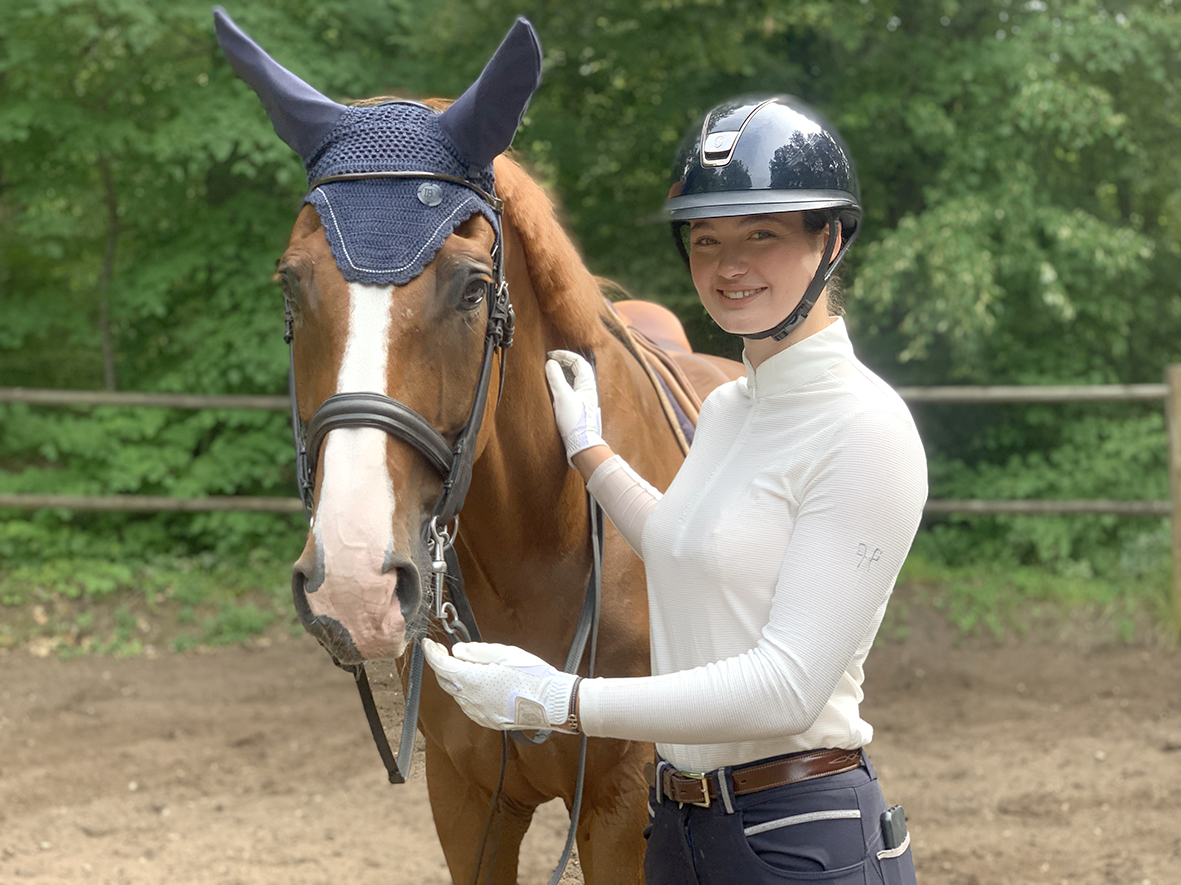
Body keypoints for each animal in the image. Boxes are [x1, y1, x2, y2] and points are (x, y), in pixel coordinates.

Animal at [217, 12, 741, 883]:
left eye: (471, 288)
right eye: (291, 282)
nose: (353, 584)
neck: (538, 548)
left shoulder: (622, 809)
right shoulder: (465, 799)